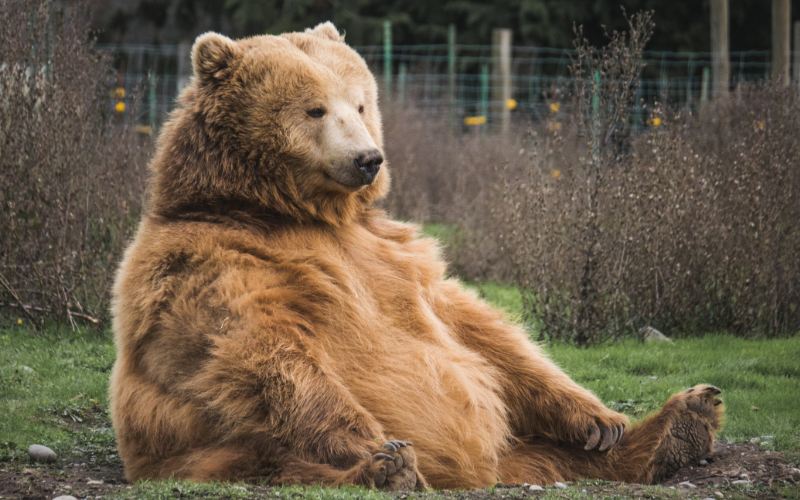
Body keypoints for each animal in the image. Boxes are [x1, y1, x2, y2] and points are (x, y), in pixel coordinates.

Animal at [109, 22, 724, 490]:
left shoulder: (394, 255)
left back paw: (680, 423)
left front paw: (599, 419)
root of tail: (482, 471)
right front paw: (376, 446)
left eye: (360, 103)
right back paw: (388, 468)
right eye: (314, 109)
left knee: (555, 452)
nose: (367, 158)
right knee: (278, 457)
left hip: (519, 446)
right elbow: (262, 351)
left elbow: (479, 329)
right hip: (210, 449)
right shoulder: (213, 262)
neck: (292, 212)